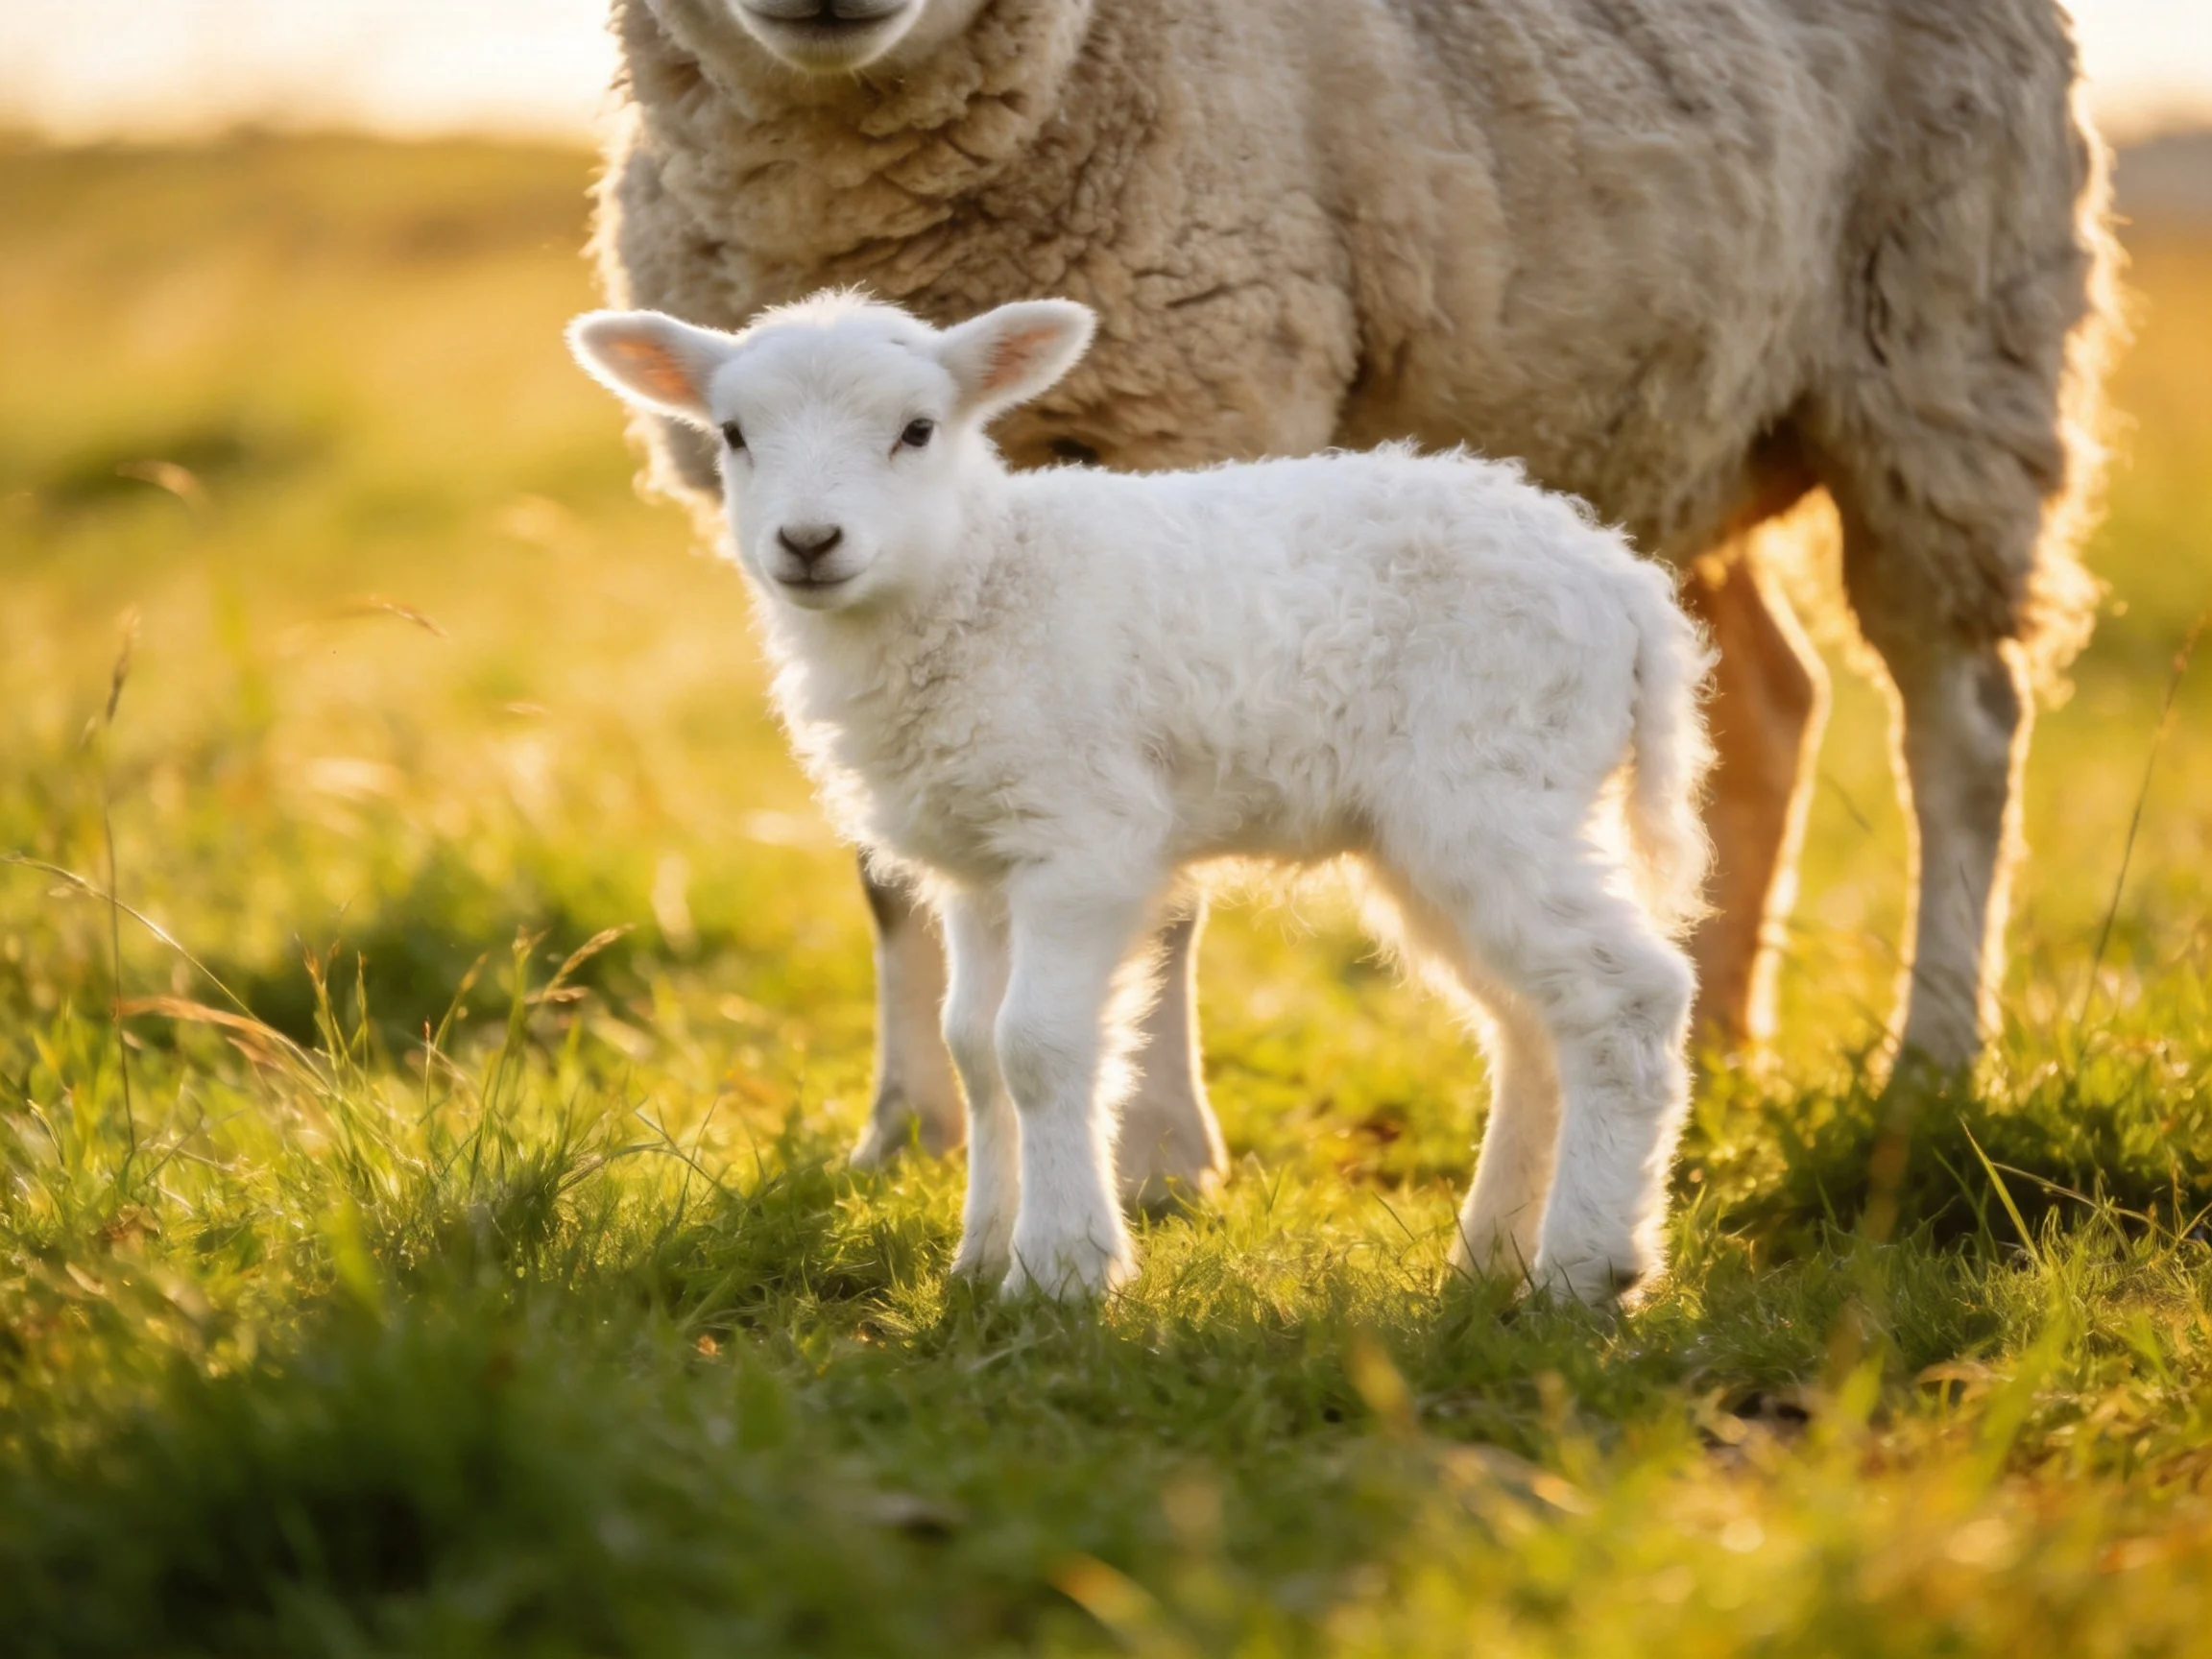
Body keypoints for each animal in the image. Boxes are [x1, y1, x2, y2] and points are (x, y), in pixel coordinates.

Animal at [568, 290, 1716, 1302]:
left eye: (916, 430)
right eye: (733, 434)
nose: (808, 543)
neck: (980, 582)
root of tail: (1625, 585)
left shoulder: (1084, 842)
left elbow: (1038, 1047)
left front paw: (1061, 1270)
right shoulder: (979, 861)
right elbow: (973, 1049)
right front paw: (979, 1258)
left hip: (1493, 788)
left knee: (1628, 998)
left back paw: (1586, 1269)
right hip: (1441, 830)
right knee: (1531, 1024)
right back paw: (1489, 1258)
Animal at [595, 0, 2119, 1200]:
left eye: (919, 428)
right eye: (734, 433)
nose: (812, 538)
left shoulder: (1200, 413)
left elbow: (1158, 897)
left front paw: (1157, 1152)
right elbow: (886, 874)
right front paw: (907, 1133)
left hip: (1942, 356)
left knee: (1962, 726)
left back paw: (1933, 1057)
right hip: (1682, 426)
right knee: (1764, 704)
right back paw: (1728, 1030)